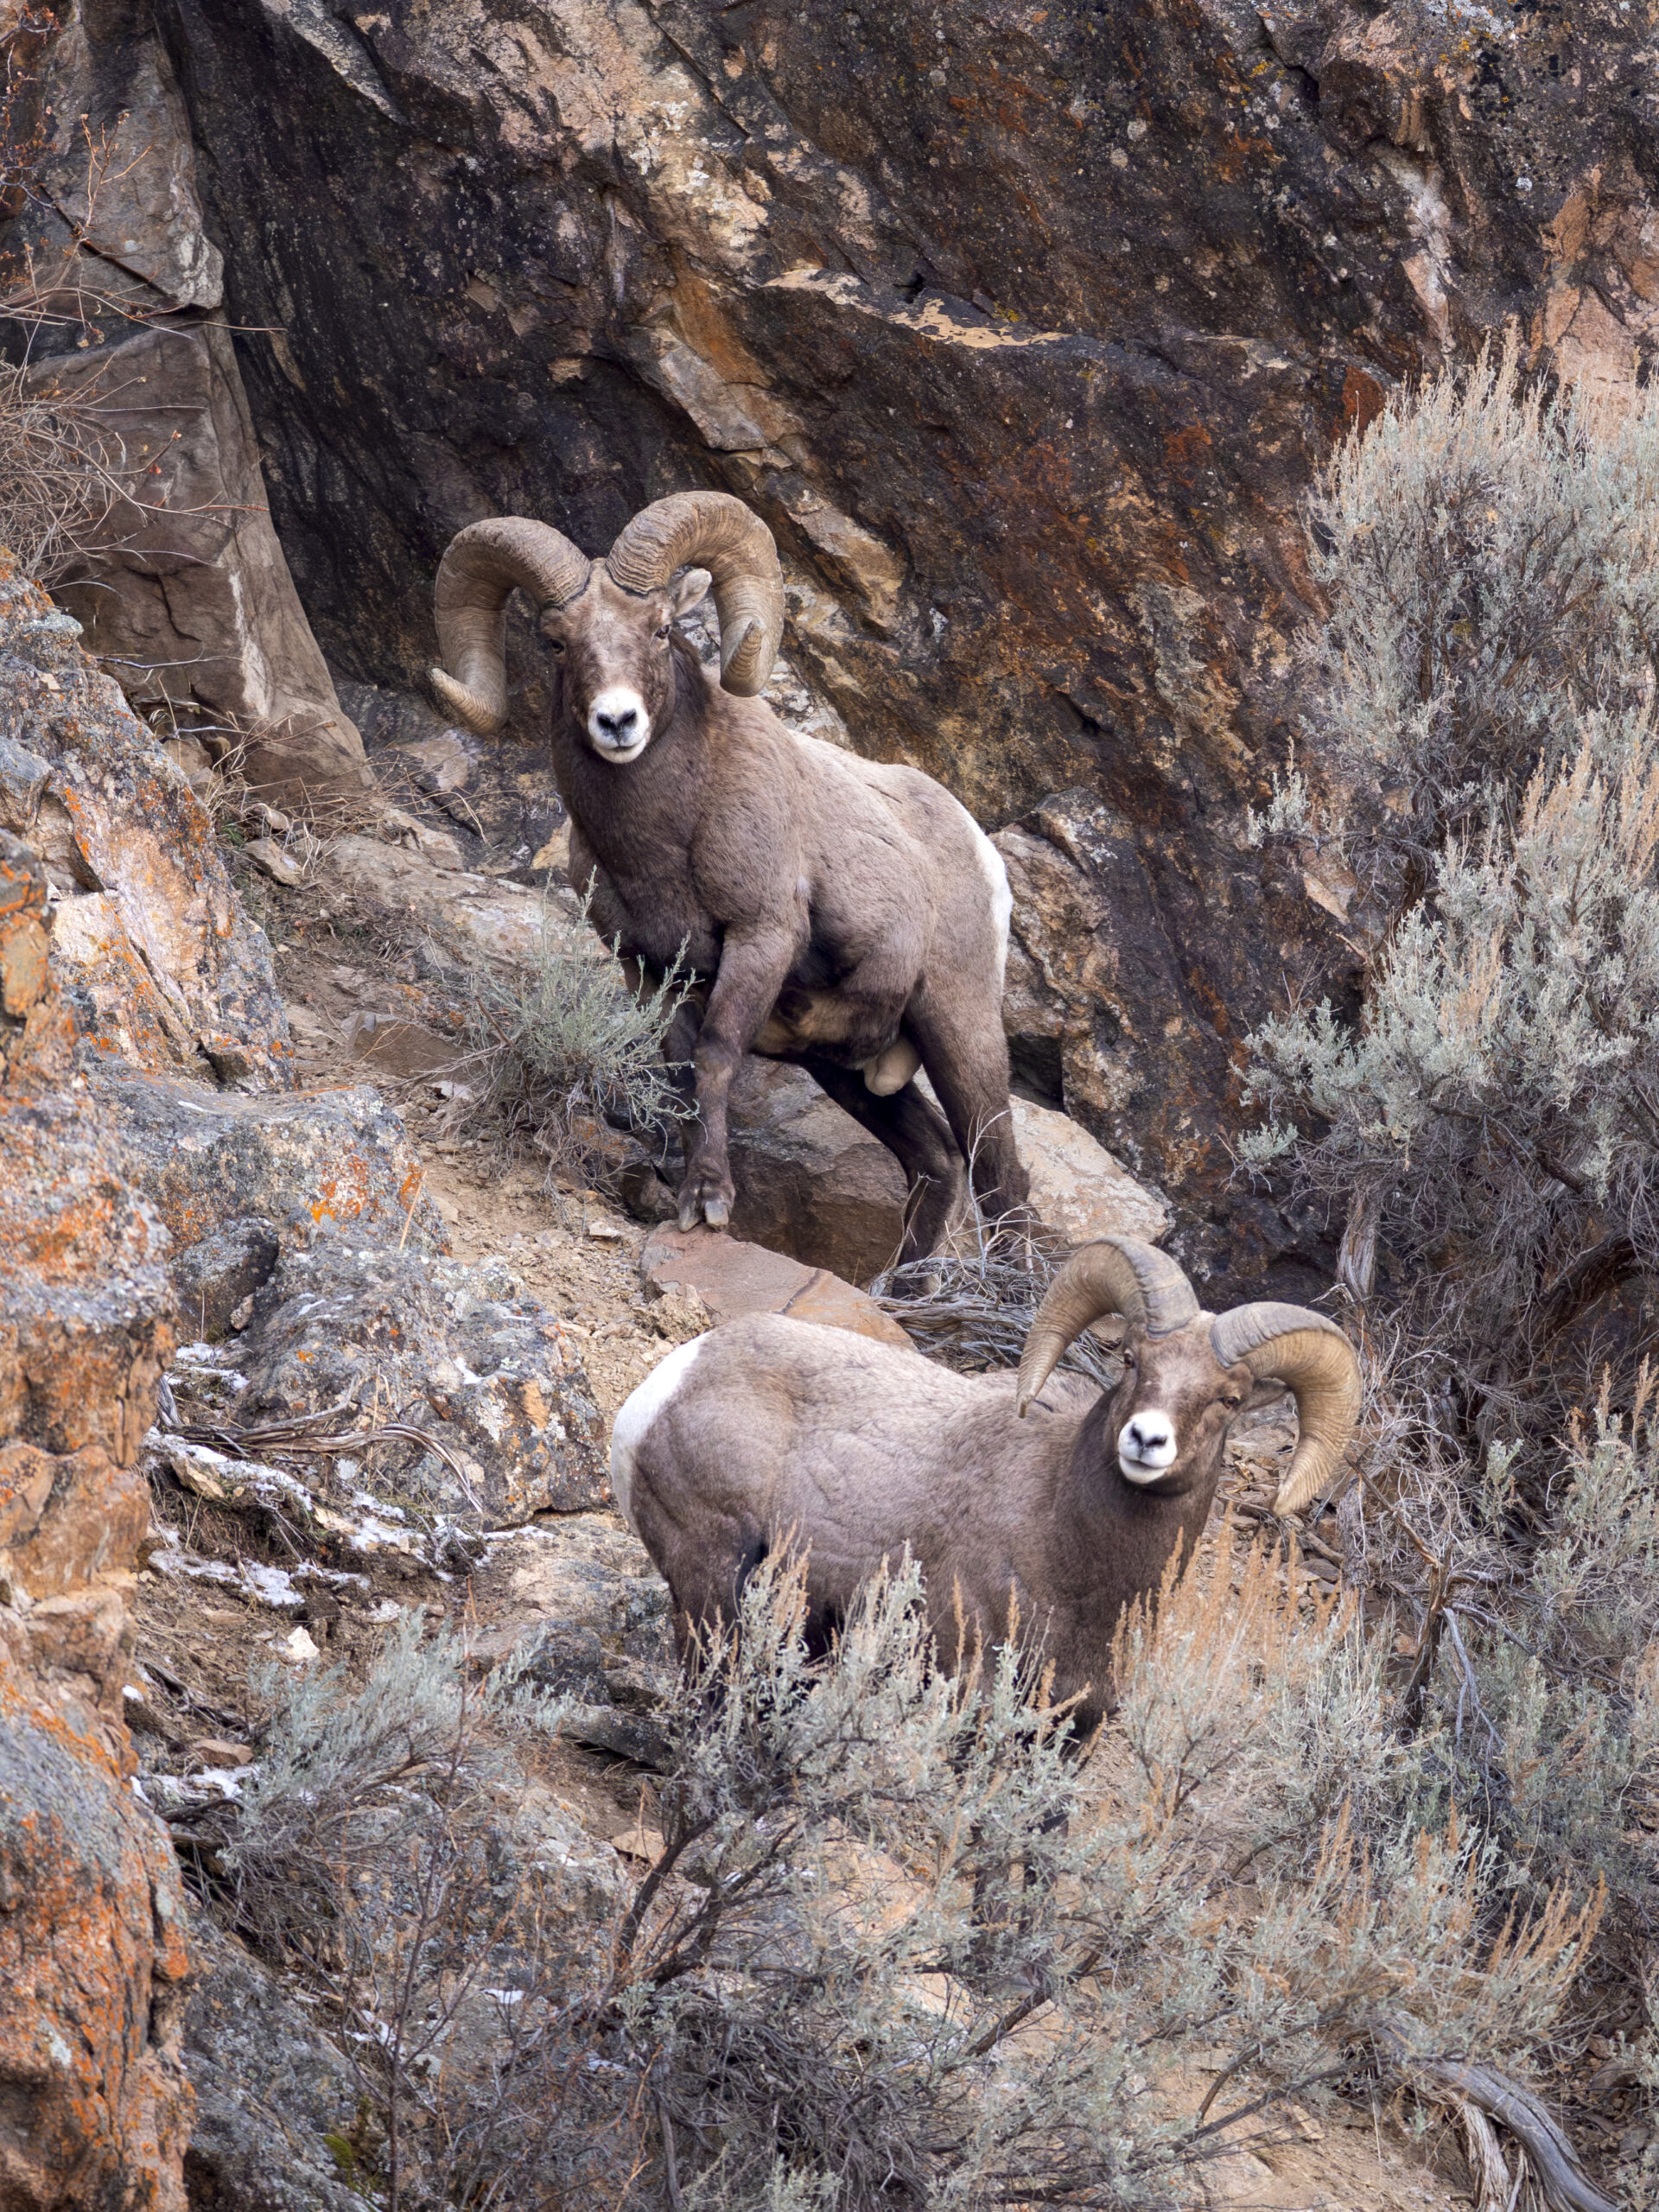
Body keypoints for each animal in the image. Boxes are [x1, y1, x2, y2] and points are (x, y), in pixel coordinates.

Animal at [428, 491, 1028, 1262]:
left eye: (660, 629)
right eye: (558, 642)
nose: (617, 722)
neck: (662, 845)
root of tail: (979, 850)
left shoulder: (759, 938)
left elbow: (715, 1059)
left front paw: (709, 1202)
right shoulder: (652, 972)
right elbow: (684, 1078)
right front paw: (692, 1195)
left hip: (960, 1028)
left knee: (1001, 1181)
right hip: (849, 1071)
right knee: (936, 1162)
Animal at [610, 1235, 1361, 1728]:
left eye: (1228, 1399)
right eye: (1130, 1360)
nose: (1146, 1440)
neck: (1074, 1563)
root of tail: (664, 1388)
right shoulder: (969, 1688)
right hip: (716, 1593)